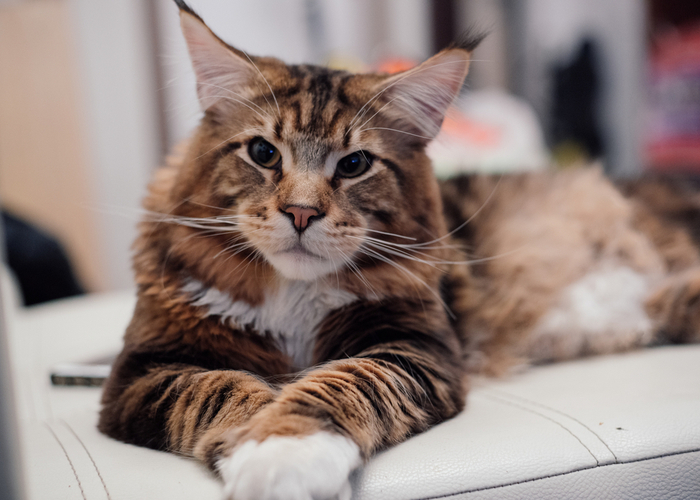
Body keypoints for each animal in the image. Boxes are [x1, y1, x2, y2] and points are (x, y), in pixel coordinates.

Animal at [98, 1, 700, 498]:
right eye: (264, 153)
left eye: (355, 164)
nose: (301, 213)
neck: (293, 297)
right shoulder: (145, 369)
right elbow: (224, 389)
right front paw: (254, 443)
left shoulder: (414, 346)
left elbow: (342, 382)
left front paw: (285, 452)